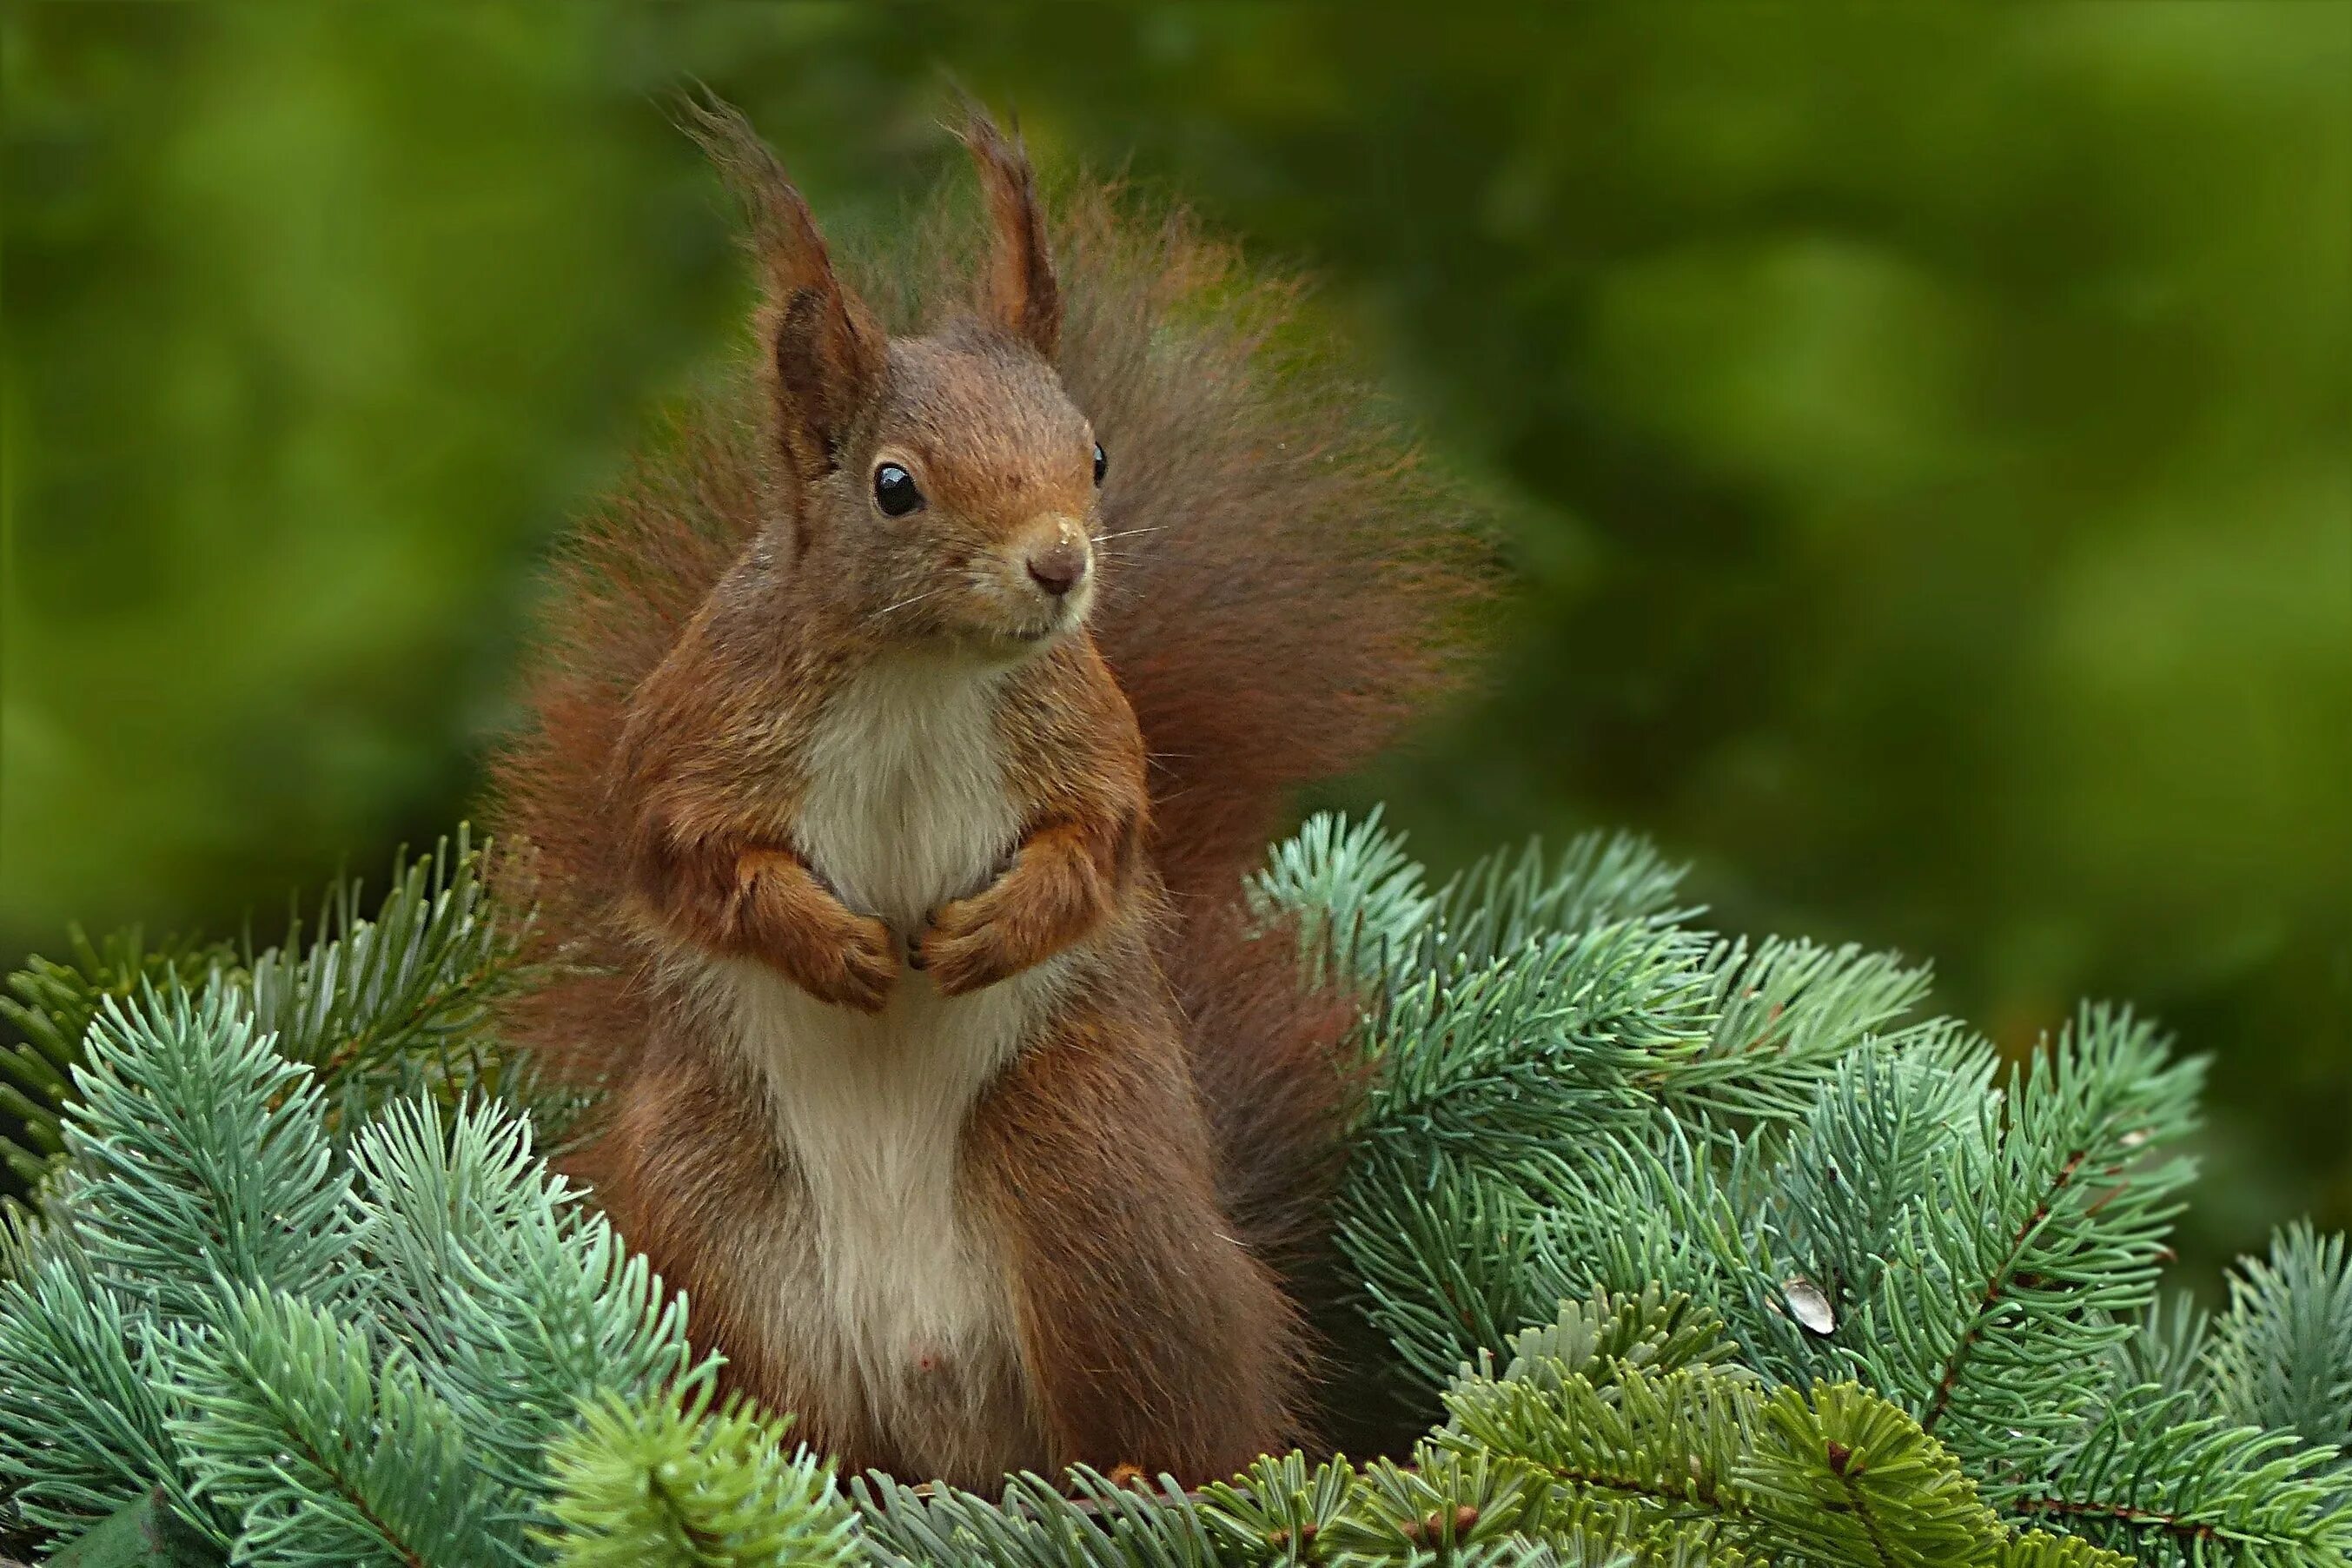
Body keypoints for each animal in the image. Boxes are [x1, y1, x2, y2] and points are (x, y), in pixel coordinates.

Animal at [494, 103, 1476, 1495]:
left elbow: (1098, 847)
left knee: (1177, 1419)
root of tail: (939, 1417)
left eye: (1096, 454)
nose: (1060, 565)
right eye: (894, 484)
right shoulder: (693, 738)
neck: (924, 673)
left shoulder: (1089, 741)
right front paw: (832, 945)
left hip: (1093, 1201)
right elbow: (692, 861)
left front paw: (990, 932)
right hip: (720, 1245)